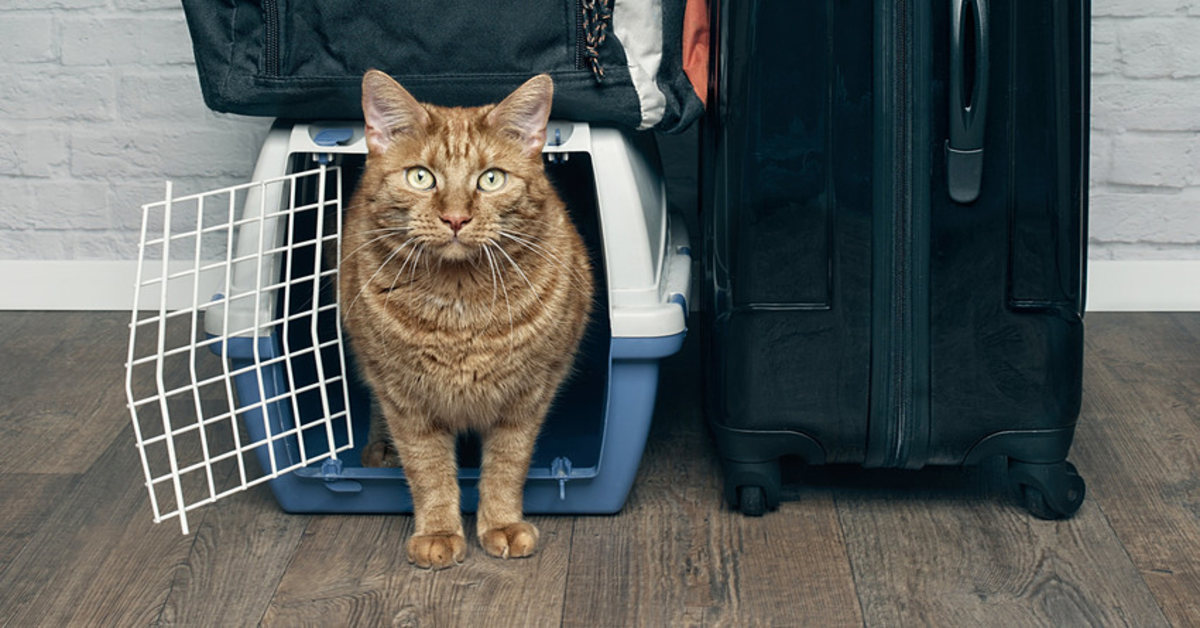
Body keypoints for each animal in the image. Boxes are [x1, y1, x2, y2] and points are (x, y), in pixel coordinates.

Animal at [340, 69, 592, 569]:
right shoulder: (406, 401)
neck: (460, 303)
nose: (455, 218)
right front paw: (438, 532)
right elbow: (429, 469)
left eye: (491, 179)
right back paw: (380, 450)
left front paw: (501, 524)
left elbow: (506, 465)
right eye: (420, 176)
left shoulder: (528, 397)